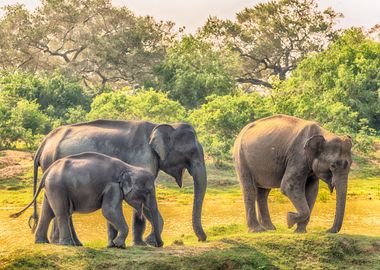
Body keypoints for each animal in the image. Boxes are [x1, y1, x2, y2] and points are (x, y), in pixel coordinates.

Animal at [11, 151, 163, 248]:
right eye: (147, 192)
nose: (159, 245)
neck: (128, 167)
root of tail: (48, 170)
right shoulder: (112, 186)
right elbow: (109, 211)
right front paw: (119, 245)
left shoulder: (113, 188)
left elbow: (110, 214)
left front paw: (112, 245)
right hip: (57, 187)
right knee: (62, 213)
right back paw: (68, 245)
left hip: (52, 188)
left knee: (49, 213)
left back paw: (44, 242)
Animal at [29, 119, 208, 244]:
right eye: (192, 152)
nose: (202, 239)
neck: (159, 126)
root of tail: (44, 143)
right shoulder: (142, 157)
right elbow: (141, 203)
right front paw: (144, 244)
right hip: (52, 163)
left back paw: (60, 242)